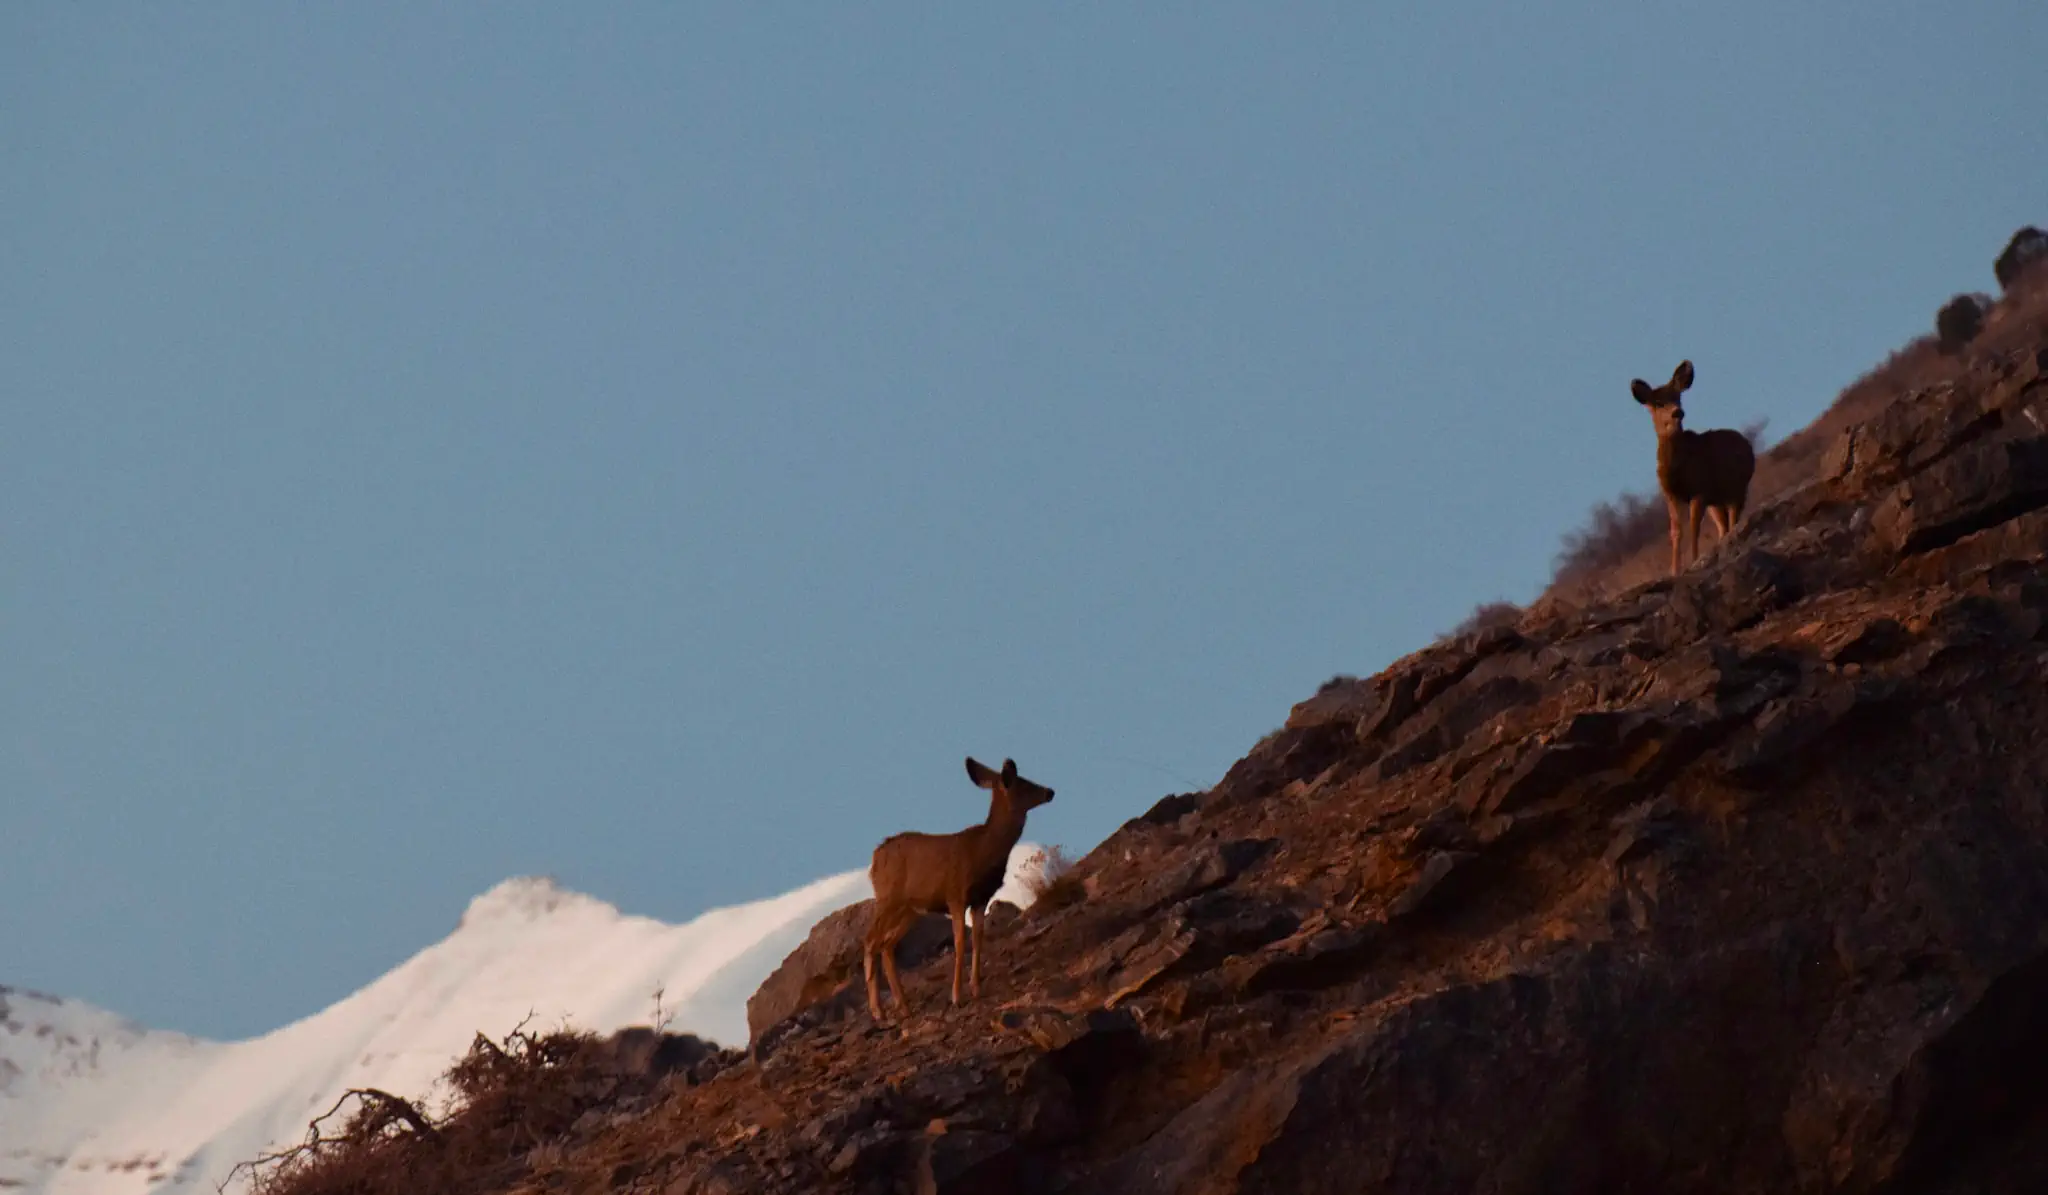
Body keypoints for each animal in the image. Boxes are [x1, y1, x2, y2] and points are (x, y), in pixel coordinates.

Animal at [864, 762, 1056, 1024]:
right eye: (1024, 783)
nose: (1050, 792)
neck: (985, 851)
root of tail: (875, 858)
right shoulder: (955, 895)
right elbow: (959, 941)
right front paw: (957, 996)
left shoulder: (981, 898)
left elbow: (977, 938)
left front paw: (976, 988)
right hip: (888, 899)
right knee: (870, 941)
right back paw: (878, 1010)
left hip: (910, 909)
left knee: (886, 946)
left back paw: (903, 1006)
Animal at [1630, 360, 1761, 573]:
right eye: (1658, 403)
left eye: (1678, 397)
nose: (1677, 412)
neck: (1677, 467)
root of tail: (1746, 443)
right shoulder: (1671, 495)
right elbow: (1675, 530)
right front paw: (1674, 569)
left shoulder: (1700, 489)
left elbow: (1693, 525)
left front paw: (1694, 560)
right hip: (1717, 500)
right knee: (1723, 523)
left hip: (1737, 488)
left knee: (1733, 517)